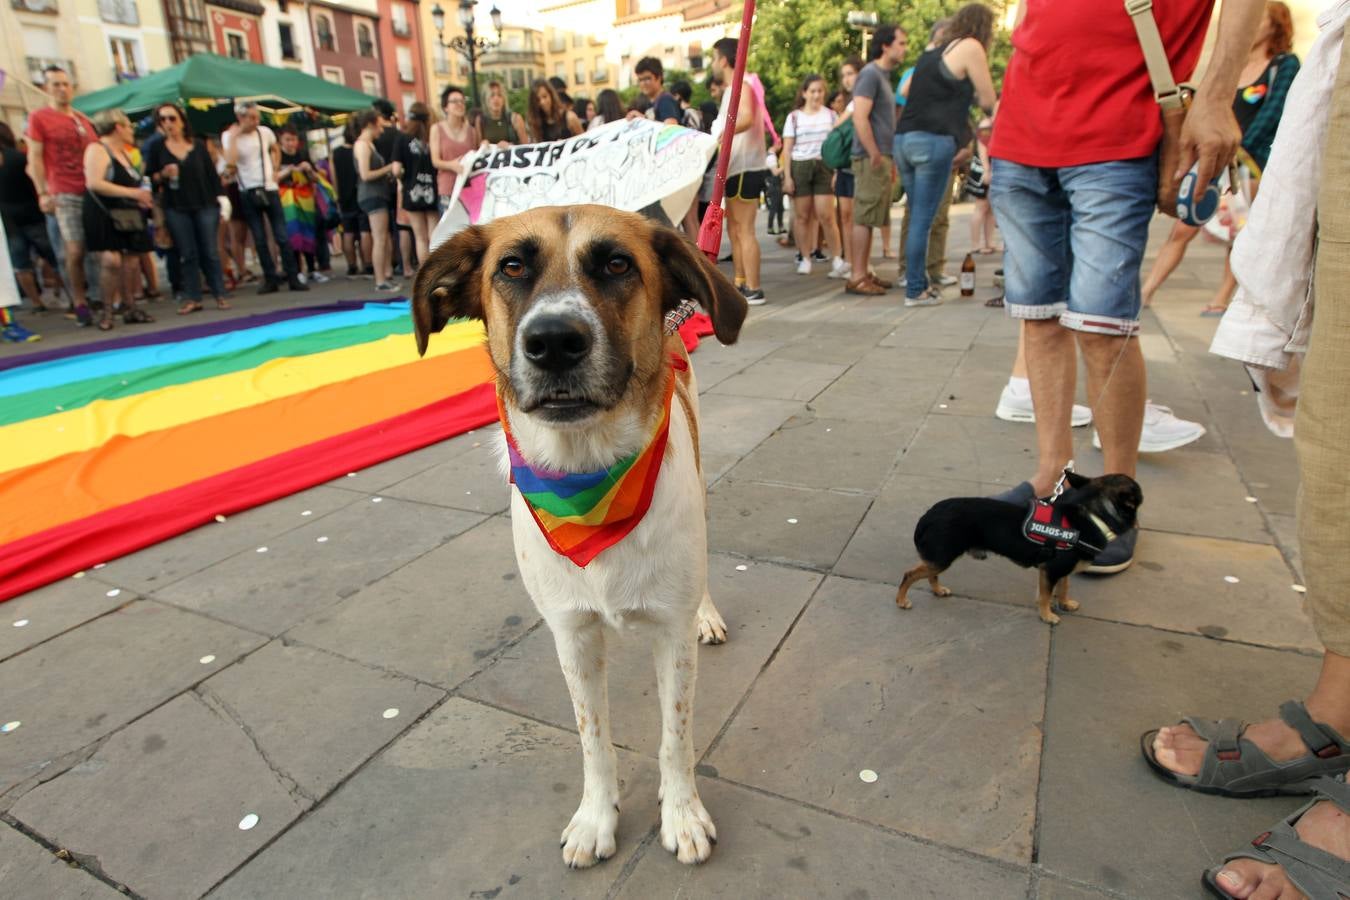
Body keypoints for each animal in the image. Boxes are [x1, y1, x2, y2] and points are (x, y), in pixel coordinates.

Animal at [410, 203, 750, 863]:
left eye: (617, 264)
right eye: (511, 267)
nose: (553, 342)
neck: (588, 472)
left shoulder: (671, 638)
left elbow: (675, 735)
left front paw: (682, 814)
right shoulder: (571, 636)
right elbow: (593, 738)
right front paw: (597, 817)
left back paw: (709, 612)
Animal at [896, 472, 1139, 626]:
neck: (1091, 515)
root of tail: (929, 515)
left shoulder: (1059, 571)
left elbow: (1063, 588)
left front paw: (1064, 603)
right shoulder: (1050, 571)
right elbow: (1045, 595)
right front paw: (1046, 615)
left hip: (940, 558)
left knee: (931, 575)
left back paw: (938, 590)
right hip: (942, 557)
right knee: (909, 574)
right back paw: (901, 601)